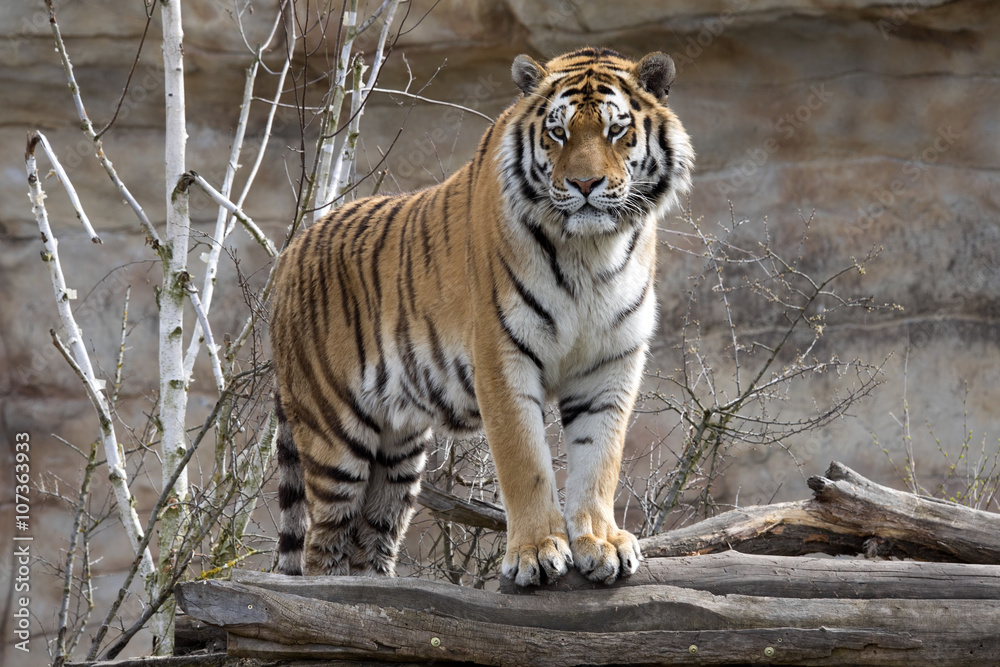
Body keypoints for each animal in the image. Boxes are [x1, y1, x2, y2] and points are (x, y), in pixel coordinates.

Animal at [269, 47, 694, 586]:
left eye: (616, 130)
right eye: (558, 133)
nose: (584, 183)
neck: (591, 250)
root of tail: (290, 252)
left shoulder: (610, 362)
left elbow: (600, 459)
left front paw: (600, 543)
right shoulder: (502, 356)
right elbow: (524, 461)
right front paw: (537, 553)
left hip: (398, 449)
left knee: (372, 537)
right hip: (335, 432)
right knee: (322, 545)